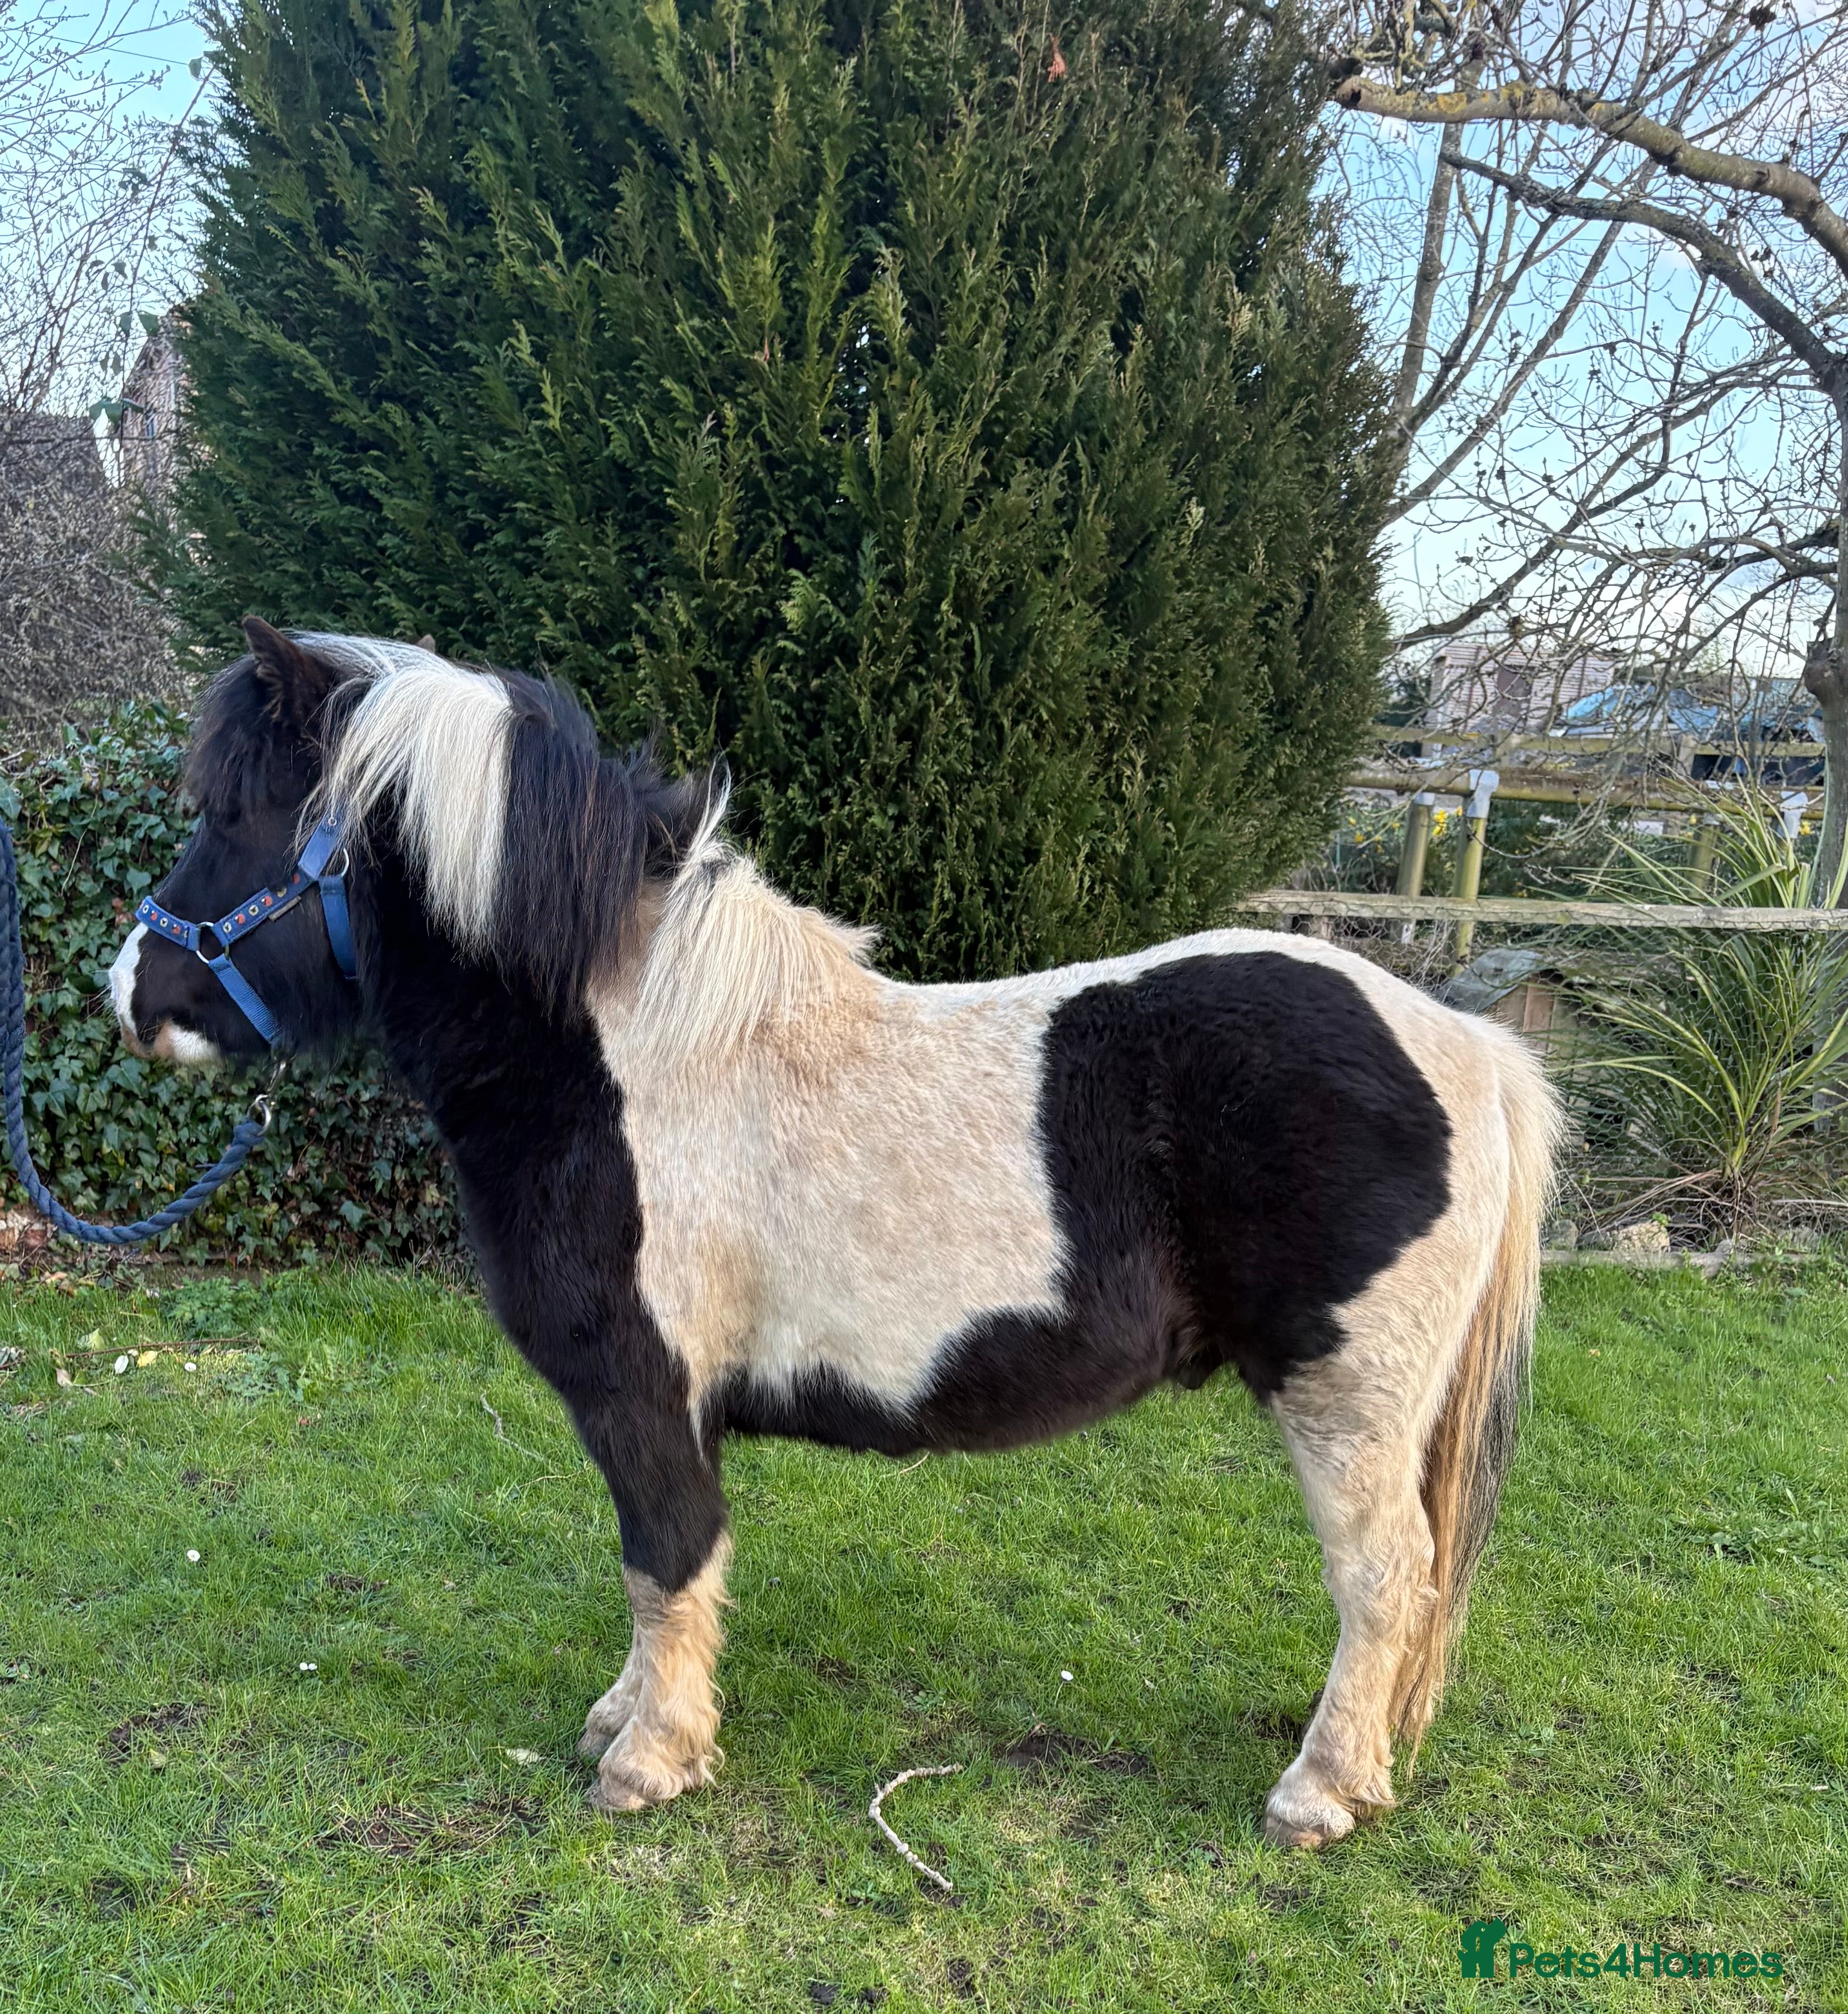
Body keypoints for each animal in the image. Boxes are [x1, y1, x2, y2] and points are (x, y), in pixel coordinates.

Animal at [110, 619, 1559, 1849]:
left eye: (233, 815)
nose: (135, 996)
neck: (631, 1060)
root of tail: (1464, 1043)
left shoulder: (642, 1392)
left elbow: (664, 1558)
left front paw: (651, 1760)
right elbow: (659, 1567)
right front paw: (622, 1718)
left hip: (1348, 1400)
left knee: (1384, 1580)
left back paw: (1318, 1792)